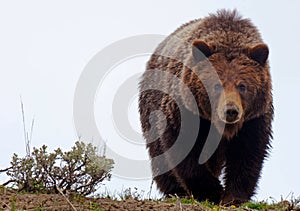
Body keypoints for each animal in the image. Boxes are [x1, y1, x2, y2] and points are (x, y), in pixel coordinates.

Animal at [139, 9, 274, 204]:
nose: (231, 111)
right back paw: (175, 190)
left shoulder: (253, 120)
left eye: (242, 86)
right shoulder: (185, 111)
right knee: (159, 155)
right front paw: (211, 191)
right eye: (216, 85)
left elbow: (247, 154)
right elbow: (184, 149)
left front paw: (233, 196)